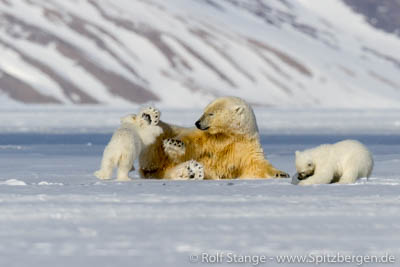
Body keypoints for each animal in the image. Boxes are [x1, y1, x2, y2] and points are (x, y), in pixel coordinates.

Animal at [139, 96, 290, 180]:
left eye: (211, 113)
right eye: (204, 111)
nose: (197, 123)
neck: (227, 135)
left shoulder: (244, 145)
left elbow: (256, 164)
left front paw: (281, 174)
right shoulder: (208, 138)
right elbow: (190, 143)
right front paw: (175, 144)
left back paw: (192, 171)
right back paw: (149, 117)